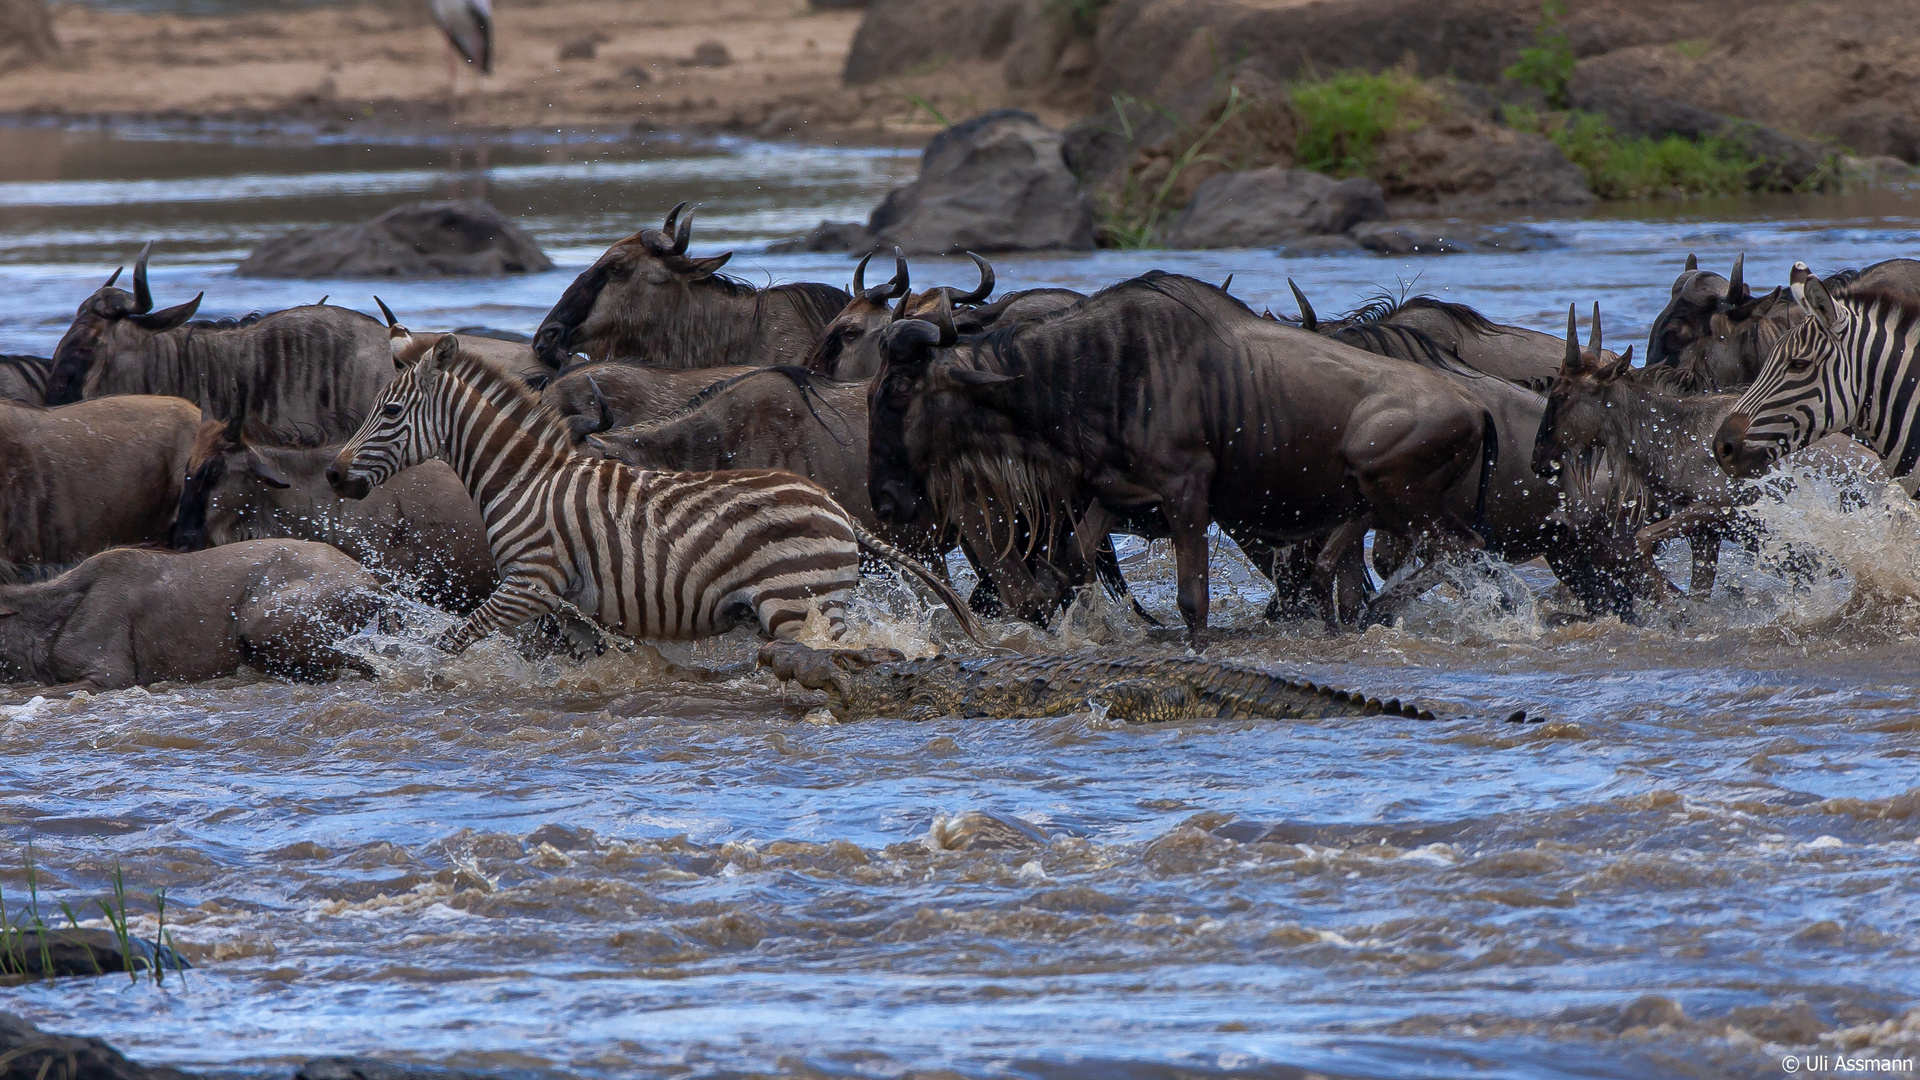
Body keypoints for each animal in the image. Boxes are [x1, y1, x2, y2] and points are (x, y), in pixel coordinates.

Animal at [324, 330, 975, 645]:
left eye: (388, 412)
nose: (332, 473)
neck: (523, 480)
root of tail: (835, 506)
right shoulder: (569, 604)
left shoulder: (529, 584)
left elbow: (453, 642)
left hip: (798, 603)